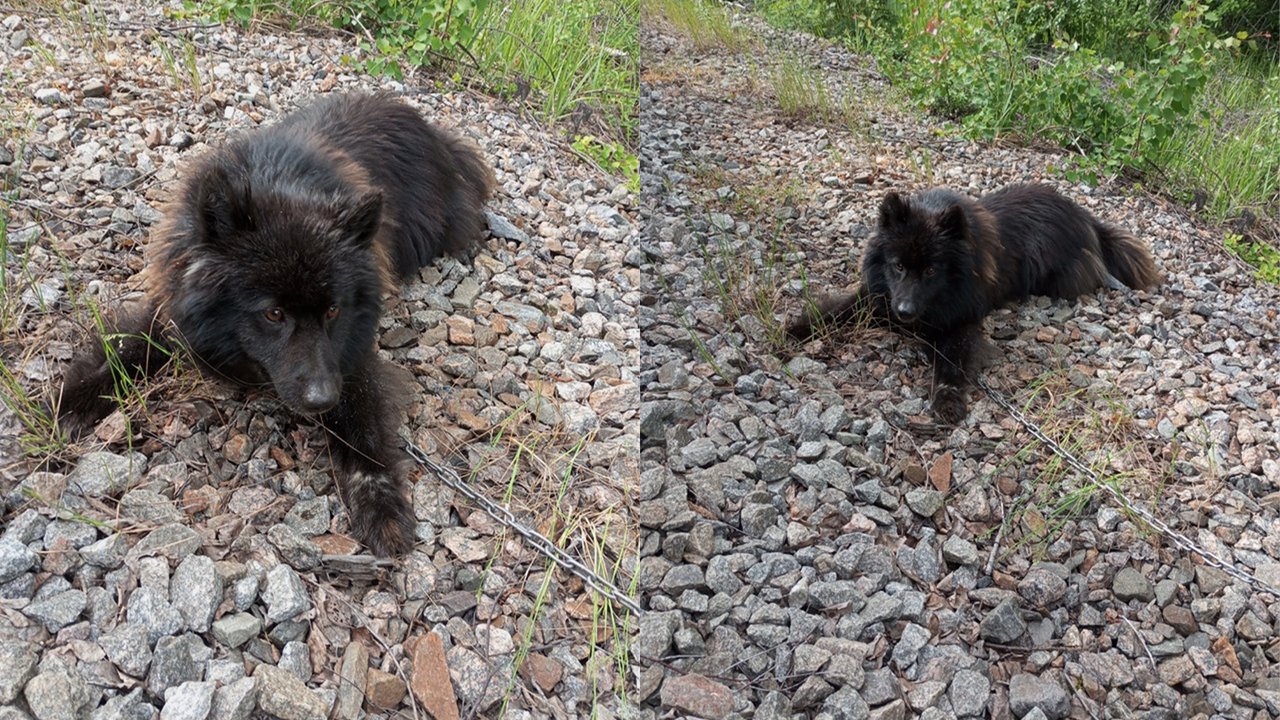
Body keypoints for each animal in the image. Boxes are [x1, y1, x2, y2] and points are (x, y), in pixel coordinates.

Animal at [56, 94, 494, 556]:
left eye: (333, 310)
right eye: (274, 313)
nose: (322, 399)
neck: (282, 188)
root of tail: (430, 129)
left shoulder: (348, 361)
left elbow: (363, 428)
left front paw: (382, 504)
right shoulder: (170, 307)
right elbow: (124, 351)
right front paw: (73, 401)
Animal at [788, 181, 1162, 422]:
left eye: (931, 270)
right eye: (898, 266)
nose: (904, 312)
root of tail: (1086, 218)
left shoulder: (960, 323)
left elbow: (951, 364)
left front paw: (947, 400)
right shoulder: (878, 298)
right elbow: (832, 312)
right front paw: (795, 330)